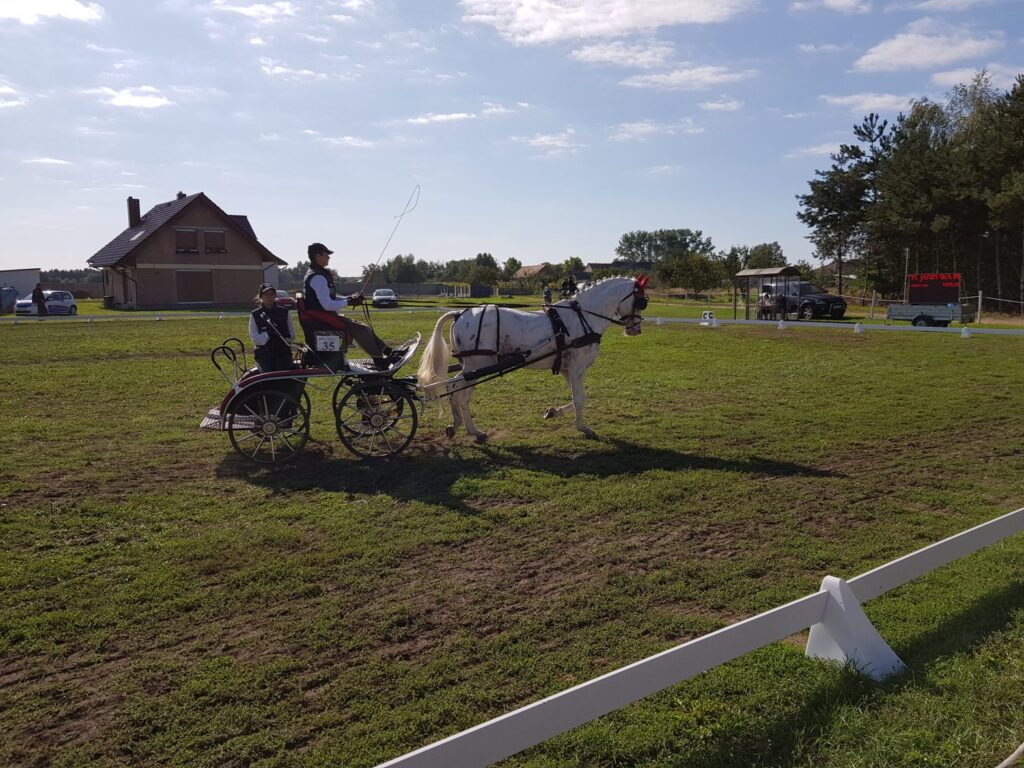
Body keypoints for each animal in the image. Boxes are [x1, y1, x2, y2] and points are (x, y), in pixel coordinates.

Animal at [415, 276, 647, 444]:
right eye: (641, 301)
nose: (635, 329)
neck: (583, 318)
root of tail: (459, 313)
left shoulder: (567, 369)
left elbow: (576, 398)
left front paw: (553, 412)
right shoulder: (577, 368)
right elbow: (580, 399)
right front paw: (584, 428)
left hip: (473, 366)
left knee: (458, 392)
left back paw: (463, 427)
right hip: (478, 366)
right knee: (457, 392)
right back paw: (467, 428)